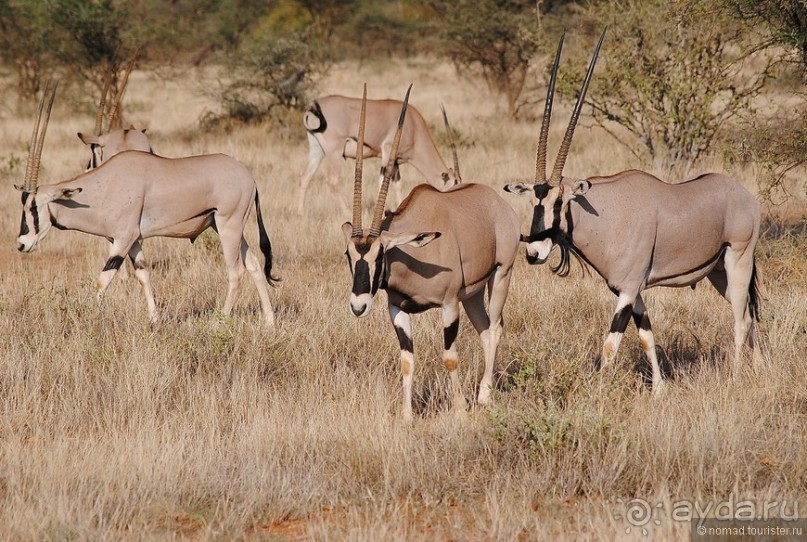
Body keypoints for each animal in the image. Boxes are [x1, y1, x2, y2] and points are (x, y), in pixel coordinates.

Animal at [16, 86, 278, 328]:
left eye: (33, 207)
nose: (21, 244)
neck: (104, 185)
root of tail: (249, 178)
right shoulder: (134, 241)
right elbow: (143, 274)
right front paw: (154, 320)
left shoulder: (123, 238)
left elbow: (104, 279)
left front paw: (86, 319)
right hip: (226, 228)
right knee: (254, 265)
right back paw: (269, 321)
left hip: (228, 228)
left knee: (236, 272)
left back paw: (220, 321)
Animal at [298, 94, 460, 216]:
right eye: (454, 185)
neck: (413, 127)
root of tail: (315, 105)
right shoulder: (387, 152)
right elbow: (382, 180)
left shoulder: (396, 161)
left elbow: (398, 184)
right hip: (335, 152)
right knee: (333, 180)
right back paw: (346, 212)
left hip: (317, 150)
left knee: (306, 176)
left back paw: (301, 213)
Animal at [340, 86, 516, 424]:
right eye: (349, 255)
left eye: (380, 254)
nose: (358, 306)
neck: (410, 254)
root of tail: (498, 203)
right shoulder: (397, 309)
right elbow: (407, 360)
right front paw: (407, 416)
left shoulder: (448, 305)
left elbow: (449, 357)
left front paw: (459, 410)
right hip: (472, 295)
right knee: (485, 330)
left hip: (501, 276)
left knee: (496, 328)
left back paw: (484, 396)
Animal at [502, 30, 760, 396]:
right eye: (533, 203)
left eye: (559, 203)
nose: (533, 253)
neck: (608, 215)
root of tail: (745, 196)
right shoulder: (632, 291)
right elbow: (646, 336)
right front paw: (660, 391)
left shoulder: (627, 290)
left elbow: (611, 344)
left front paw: (596, 393)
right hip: (718, 272)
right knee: (750, 315)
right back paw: (761, 369)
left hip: (739, 259)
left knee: (741, 320)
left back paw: (737, 378)